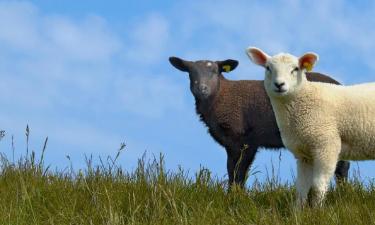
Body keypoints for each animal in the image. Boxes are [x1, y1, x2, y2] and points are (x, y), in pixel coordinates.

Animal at [247, 47, 375, 207]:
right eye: (268, 68)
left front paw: (317, 210)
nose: (279, 84)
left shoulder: (326, 145)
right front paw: (298, 211)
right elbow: (301, 188)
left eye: (295, 69)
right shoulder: (304, 154)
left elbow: (318, 186)